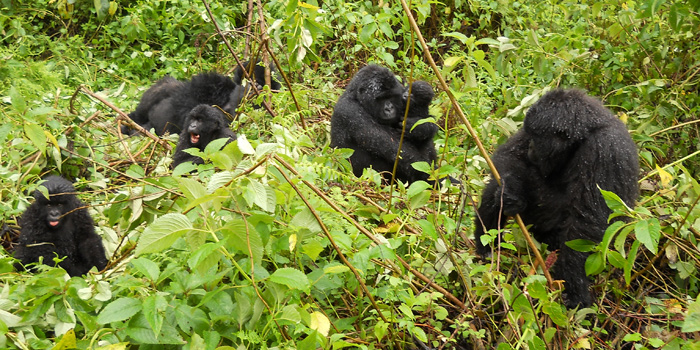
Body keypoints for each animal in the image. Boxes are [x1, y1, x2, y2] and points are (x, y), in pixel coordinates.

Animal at [470, 89, 640, 308]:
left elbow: (585, 222)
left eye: (537, 138)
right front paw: (512, 191)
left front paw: (574, 286)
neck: (583, 135)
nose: (530, 147)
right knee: (497, 183)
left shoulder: (606, 148)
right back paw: (486, 245)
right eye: (530, 135)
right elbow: (508, 157)